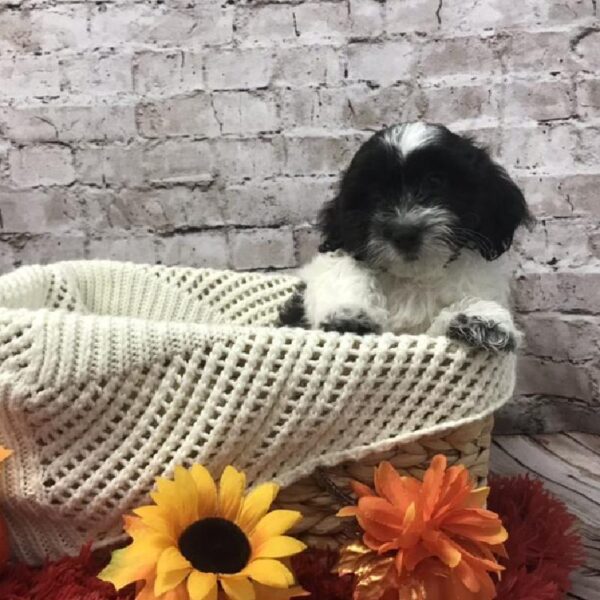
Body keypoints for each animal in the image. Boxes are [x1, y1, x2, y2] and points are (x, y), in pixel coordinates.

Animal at [278, 121, 532, 352]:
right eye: (375, 193)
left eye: (435, 181)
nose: (404, 234)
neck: (414, 279)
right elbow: (341, 268)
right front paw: (347, 313)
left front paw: (482, 317)